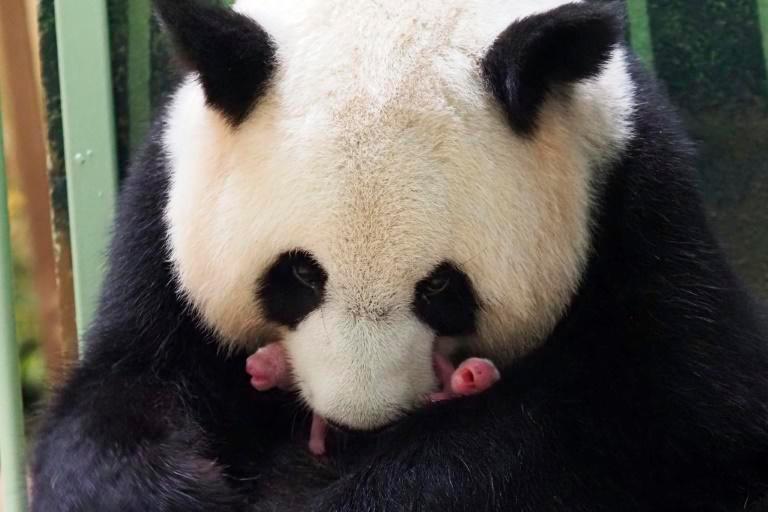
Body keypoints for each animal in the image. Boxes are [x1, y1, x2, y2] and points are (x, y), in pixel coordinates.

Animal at [31, 0, 768, 510]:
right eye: (299, 274)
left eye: (441, 289)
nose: (357, 421)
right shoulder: (164, 213)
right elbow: (118, 390)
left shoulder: (640, 215)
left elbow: (662, 426)